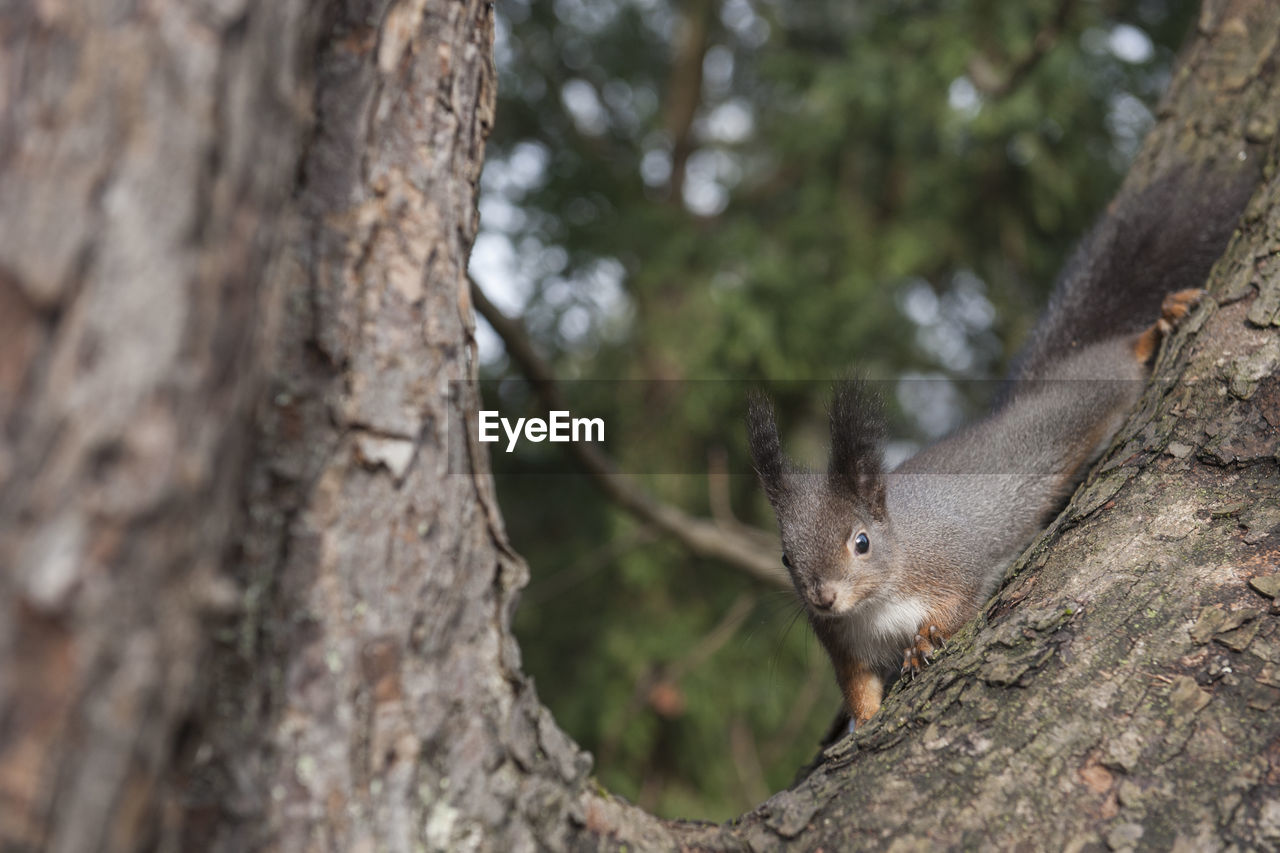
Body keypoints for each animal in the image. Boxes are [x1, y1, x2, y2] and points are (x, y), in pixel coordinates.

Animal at [747, 169, 1254, 727]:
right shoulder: (843, 645)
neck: (873, 605)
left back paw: (1162, 322)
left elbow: (960, 604)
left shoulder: (950, 561)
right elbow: (858, 686)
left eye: (861, 541)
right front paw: (865, 721)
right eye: (786, 557)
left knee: (1118, 358)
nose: (823, 598)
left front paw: (924, 640)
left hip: (1090, 394)